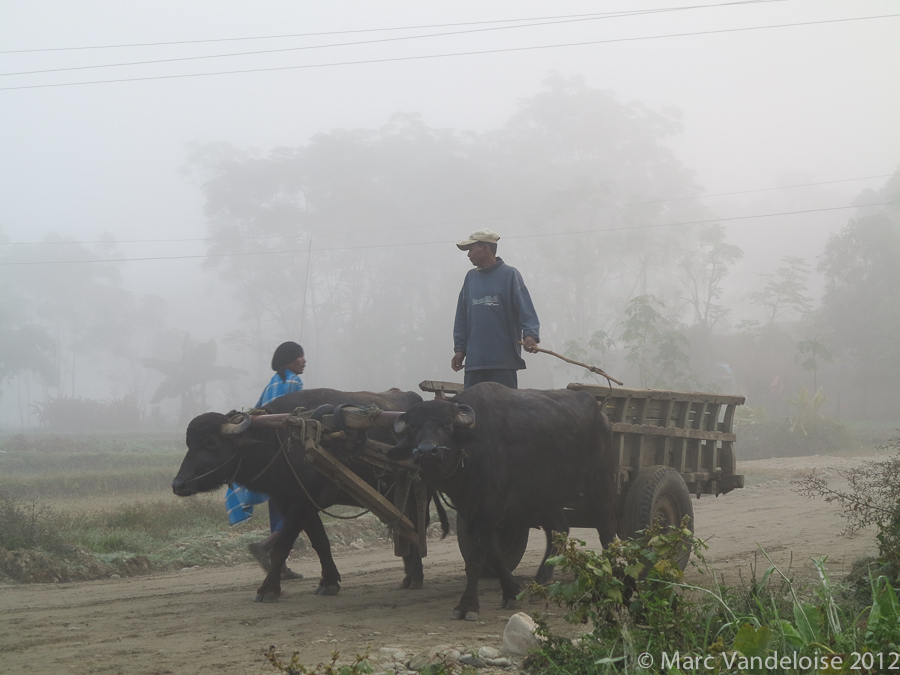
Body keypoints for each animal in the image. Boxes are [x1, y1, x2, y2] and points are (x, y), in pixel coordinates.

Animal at [171, 388, 440, 604]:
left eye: (211, 443)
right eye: (189, 443)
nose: (178, 484)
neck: (280, 439)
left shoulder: (302, 504)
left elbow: (282, 546)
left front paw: (268, 589)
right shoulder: (298, 502)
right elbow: (320, 542)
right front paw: (329, 582)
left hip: (421, 489)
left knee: (419, 527)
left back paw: (415, 576)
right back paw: (408, 574)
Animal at [390, 382, 616, 620]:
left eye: (448, 422)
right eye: (413, 426)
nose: (427, 451)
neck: (472, 454)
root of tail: (602, 416)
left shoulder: (489, 509)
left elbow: (475, 560)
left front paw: (467, 605)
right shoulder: (471, 512)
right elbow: (494, 555)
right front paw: (512, 592)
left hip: (600, 489)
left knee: (607, 531)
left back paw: (610, 579)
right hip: (544, 499)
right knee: (559, 530)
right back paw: (540, 583)